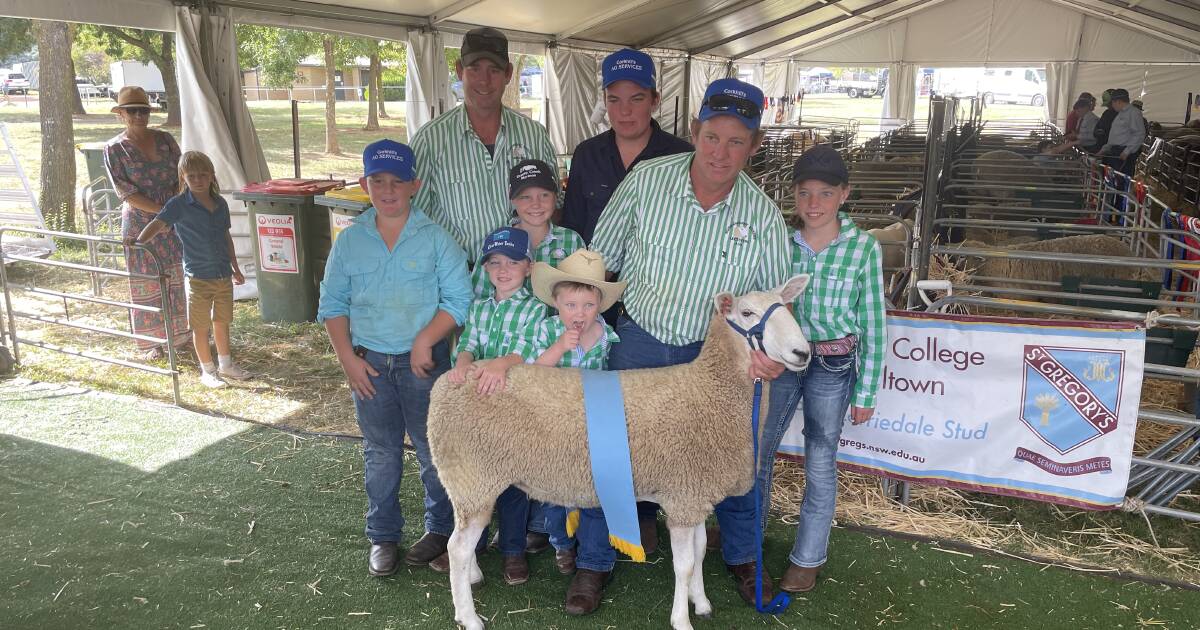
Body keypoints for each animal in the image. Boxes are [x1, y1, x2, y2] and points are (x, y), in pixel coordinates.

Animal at [427, 277, 811, 628]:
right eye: (747, 313)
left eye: (786, 307)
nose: (803, 354)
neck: (710, 389)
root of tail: (449, 380)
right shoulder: (682, 497)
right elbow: (684, 564)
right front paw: (681, 619)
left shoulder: (694, 493)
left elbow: (701, 552)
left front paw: (701, 603)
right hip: (472, 475)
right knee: (457, 547)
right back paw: (468, 616)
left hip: (471, 480)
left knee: (463, 538)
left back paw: (473, 577)